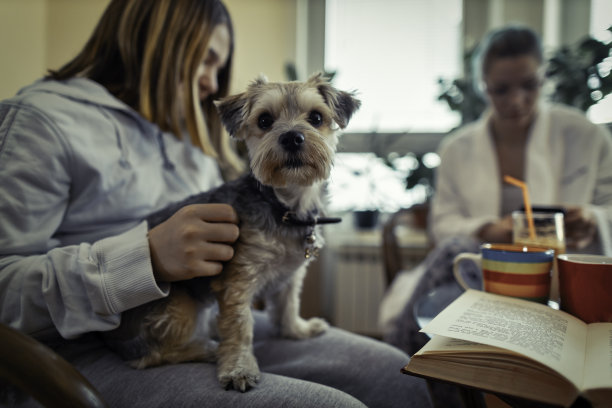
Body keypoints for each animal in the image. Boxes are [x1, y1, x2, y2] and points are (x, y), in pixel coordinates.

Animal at [107, 73, 360, 392]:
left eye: (316, 118)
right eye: (264, 120)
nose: (292, 137)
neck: (285, 207)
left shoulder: (291, 274)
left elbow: (288, 304)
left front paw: (296, 330)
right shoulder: (238, 278)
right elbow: (240, 326)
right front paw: (239, 367)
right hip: (179, 306)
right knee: (150, 355)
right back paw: (206, 348)